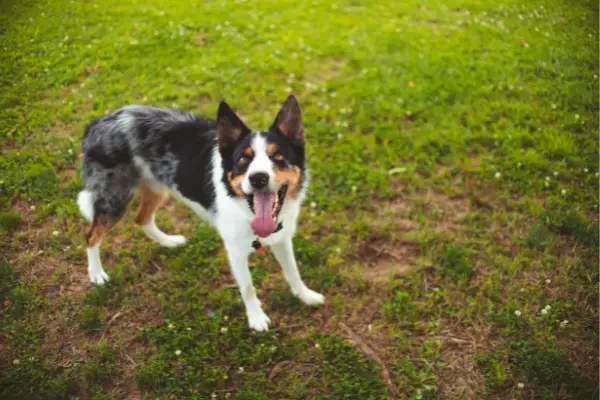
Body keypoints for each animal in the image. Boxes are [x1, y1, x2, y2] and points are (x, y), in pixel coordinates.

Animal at [79, 94, 326, 332]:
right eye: (243, 160)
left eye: (278, 157)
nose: (258, 178)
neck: (247, 211)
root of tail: (99, 122)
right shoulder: (235, 251)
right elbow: (248, 288)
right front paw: (256, 319)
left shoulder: (282, 239)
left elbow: (293, 271)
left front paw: (306, 296)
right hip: (114, 199)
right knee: (92, 235)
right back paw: (96, 274)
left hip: (157, 187)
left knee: (142, 219)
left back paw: (169, 241)